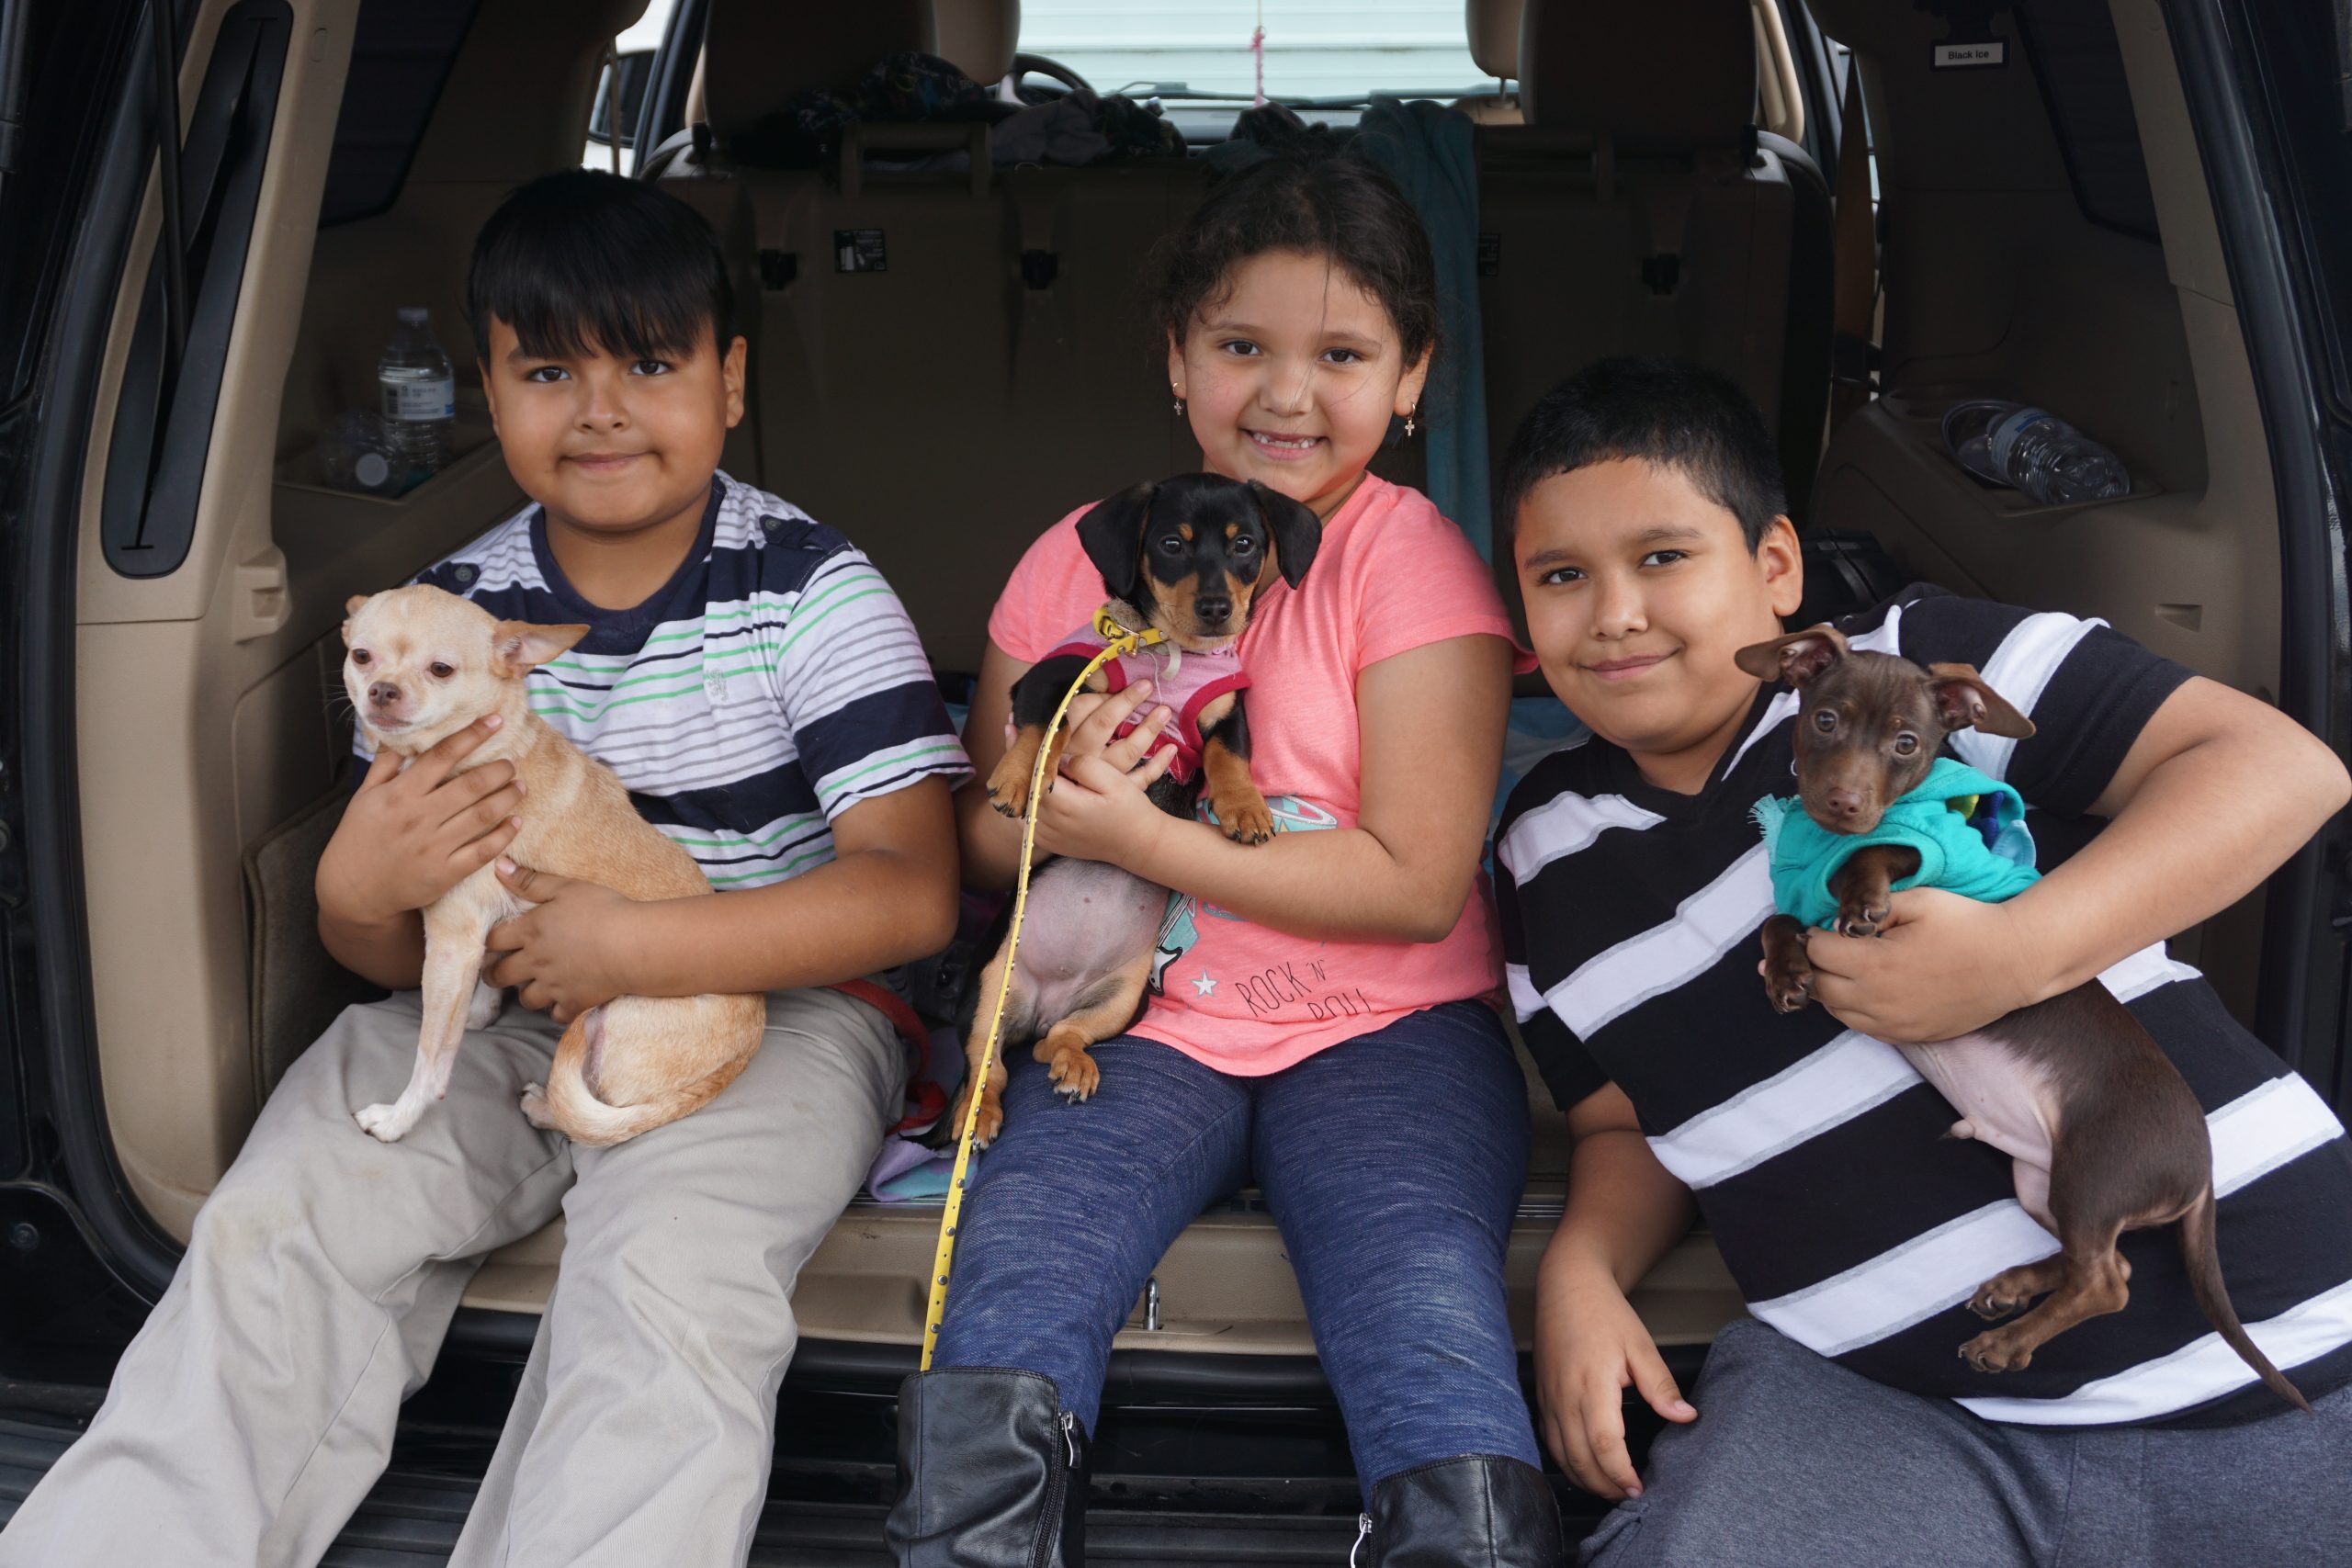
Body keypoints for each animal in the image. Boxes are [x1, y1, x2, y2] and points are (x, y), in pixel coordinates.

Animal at [342, 585, 768, 1147]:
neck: (487, 751)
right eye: (360, 657)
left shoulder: (452, 940)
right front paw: (482, 1009)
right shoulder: (473, 936)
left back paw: (544, 1107)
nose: (383, 690)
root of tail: (741, 1056)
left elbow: (432, 1057)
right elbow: (482, 976)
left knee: (591, 1114)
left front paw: (398, 1117)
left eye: (440, 670)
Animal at [940, 474, 1321, 1148]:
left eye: (1244, 544)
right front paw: (1017, 780)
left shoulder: (1228, 710)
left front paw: (1246, 809)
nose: (1217, 608)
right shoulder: (1054, 675)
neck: (1168, 649)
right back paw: (976, 1116)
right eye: (1171, 544)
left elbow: (1229, 755)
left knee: (1056, 1041)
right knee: (987, 1065)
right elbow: (1042, 726)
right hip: (989, 982)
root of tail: (1044, 1003)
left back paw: (1072, 1065)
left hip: (1123, 998)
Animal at [1742, 624, 2307, 1408]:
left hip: (2095, 1173)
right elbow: (1778, 919)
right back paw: (2014, 1291)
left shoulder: (1943, 862)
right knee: (2104, 1264)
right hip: (2042, 1183)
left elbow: (1888, 849)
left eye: (1907, 743)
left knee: (2106, 1282)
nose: (1845, 803)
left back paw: (2007, 1342)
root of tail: (2201, 1174)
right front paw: (1786, 970)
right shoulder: (1805, 903)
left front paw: (1859, 893)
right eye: (1824, 720)